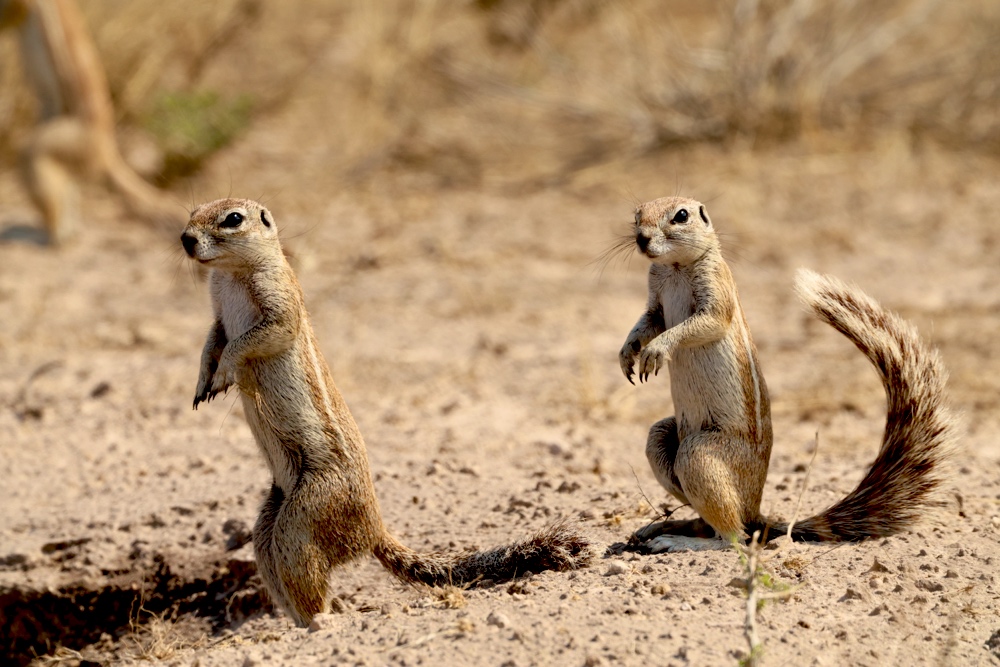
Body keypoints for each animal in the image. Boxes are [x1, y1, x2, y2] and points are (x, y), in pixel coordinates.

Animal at [181, 198, 591, 626]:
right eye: (193, 213)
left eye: (233, 219)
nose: (185, 239)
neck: (229, 274)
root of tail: (375, 530)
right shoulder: (217, 316)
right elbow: (211, 341)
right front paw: (201, 382)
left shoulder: (279, 307)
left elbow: (248, 340)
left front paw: (223, 373)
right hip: (272, 513)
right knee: (269, 552)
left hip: (308, 512)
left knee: (299, 562)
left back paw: (319, 622)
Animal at [618, 196, 956, 553]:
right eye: (637, 215)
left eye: (681, 216)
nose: (641, 239)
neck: (675, 267)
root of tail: (755, 511)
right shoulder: (655, 302)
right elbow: (647, 322)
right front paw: (628, 352)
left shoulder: (716, 290)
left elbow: (706, 322)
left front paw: (656, 349)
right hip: (662, 439)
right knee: (714, 520)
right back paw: (660, 528)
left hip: (698, 454)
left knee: (735, 538)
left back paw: (675, 540)